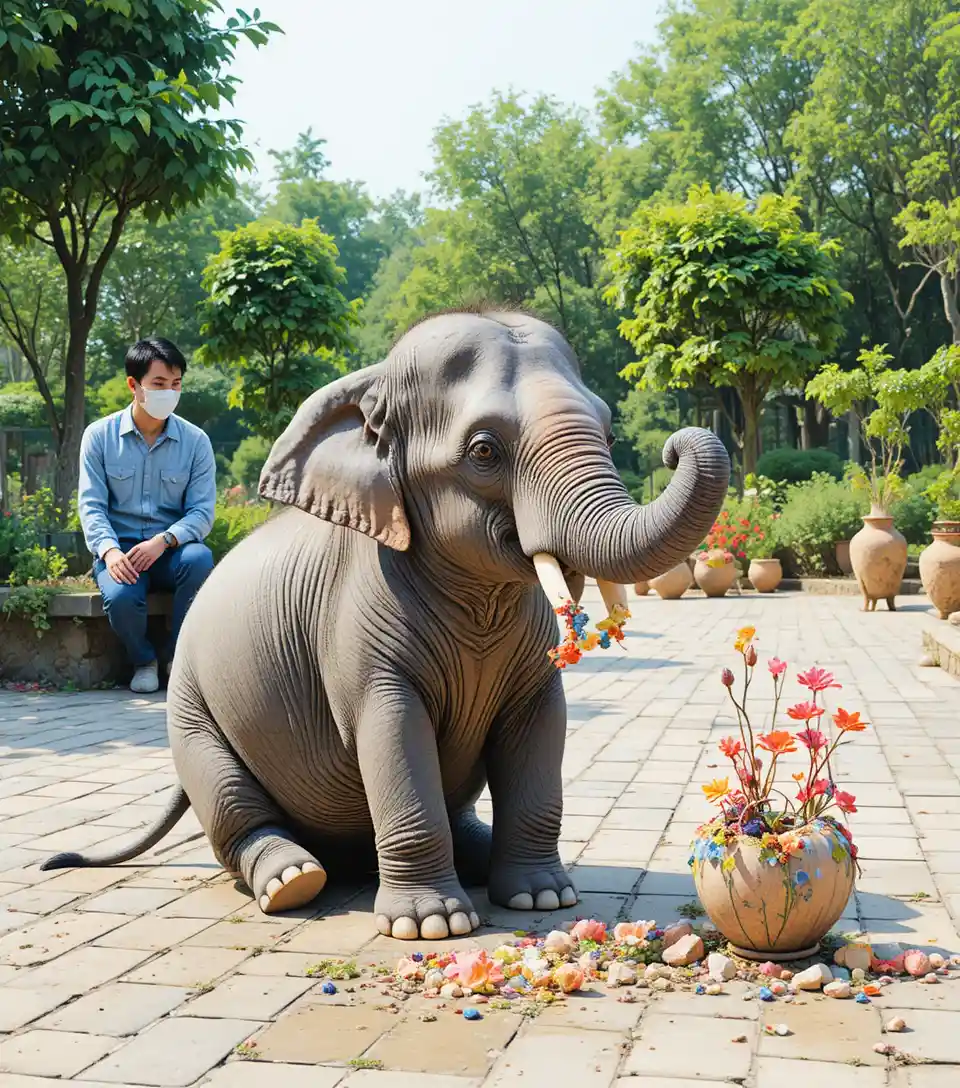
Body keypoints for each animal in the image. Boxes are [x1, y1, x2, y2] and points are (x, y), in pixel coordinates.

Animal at [42, 310, 730, 940]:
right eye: (485, 450)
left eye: (609, 434)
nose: (675, 442)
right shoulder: (356, 623)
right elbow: (391, 730)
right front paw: (432, 926)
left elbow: (541, 723)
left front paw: (542, 899)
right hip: (190, 708)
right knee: (229, 799)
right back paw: (292, 880)